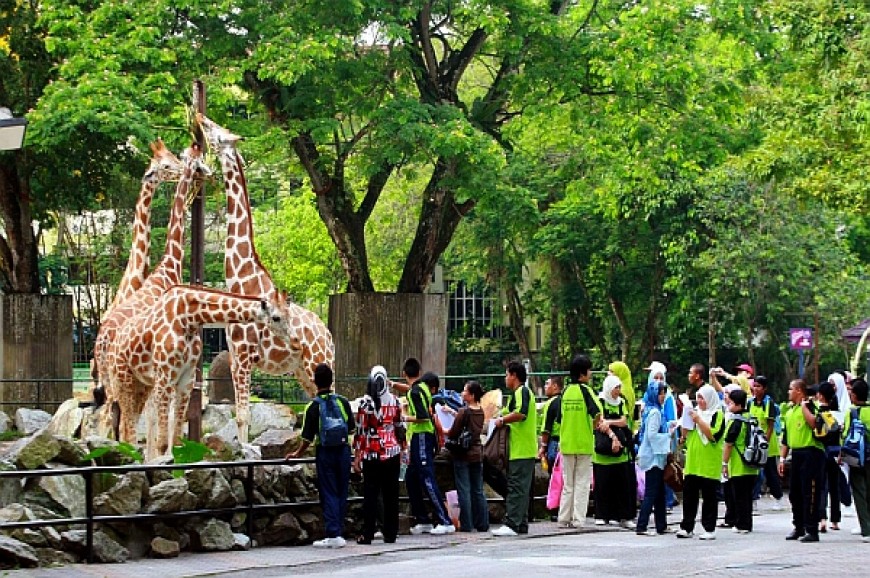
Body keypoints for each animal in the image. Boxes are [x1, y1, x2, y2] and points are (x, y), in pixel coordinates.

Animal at [97, 144, 211, 440]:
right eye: (167, 165)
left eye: (175, 157)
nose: (205, 173)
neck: (166, 267)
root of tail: (101, 342)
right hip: (120, 379)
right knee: (115, 418)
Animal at [110, 284, 300, 460]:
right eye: (276, 318)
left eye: (290, 315)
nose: (296, 342)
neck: (188, 317)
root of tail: (116, 340)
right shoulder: (165, 374)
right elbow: (162, 443)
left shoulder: (187, 378)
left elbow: (177, 441)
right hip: (123, 378)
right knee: (126, 427)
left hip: (143, 384)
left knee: (129, 424)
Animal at [196, 112, 336, 440]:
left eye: (217, 133)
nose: (199, 116)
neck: (241, 278)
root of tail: (329, 336)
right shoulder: (237, 357)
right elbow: (240, 415)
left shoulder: (244, 357)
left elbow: (243, 416)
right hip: (302, 370)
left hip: (318, 361)